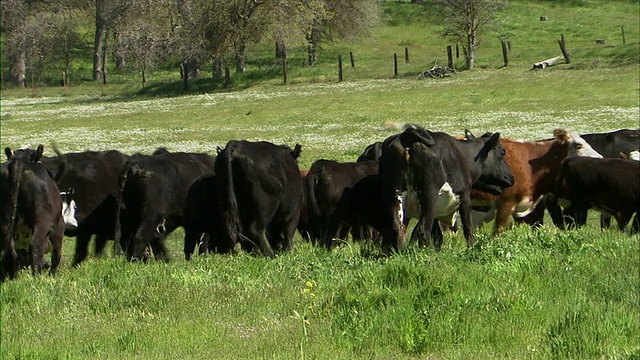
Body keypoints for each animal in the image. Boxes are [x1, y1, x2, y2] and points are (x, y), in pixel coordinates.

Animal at [0, 145, 65, 280]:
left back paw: (14, 277)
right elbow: (57, 253)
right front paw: (53, 275)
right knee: (35, 246)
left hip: (5, 222)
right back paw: (37, 277)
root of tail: (17, 162)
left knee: (10, 250)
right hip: (42, 222)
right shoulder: (59, 226)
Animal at [378, 125, 512, 252]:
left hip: (393, 193)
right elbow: (468, 228)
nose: (512, 178)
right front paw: (471, 249)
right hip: (429, 194)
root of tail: (407, 135)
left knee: (397, 228)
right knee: (423, 229)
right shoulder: (464, 197)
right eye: (502, 152)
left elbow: (436, 235)